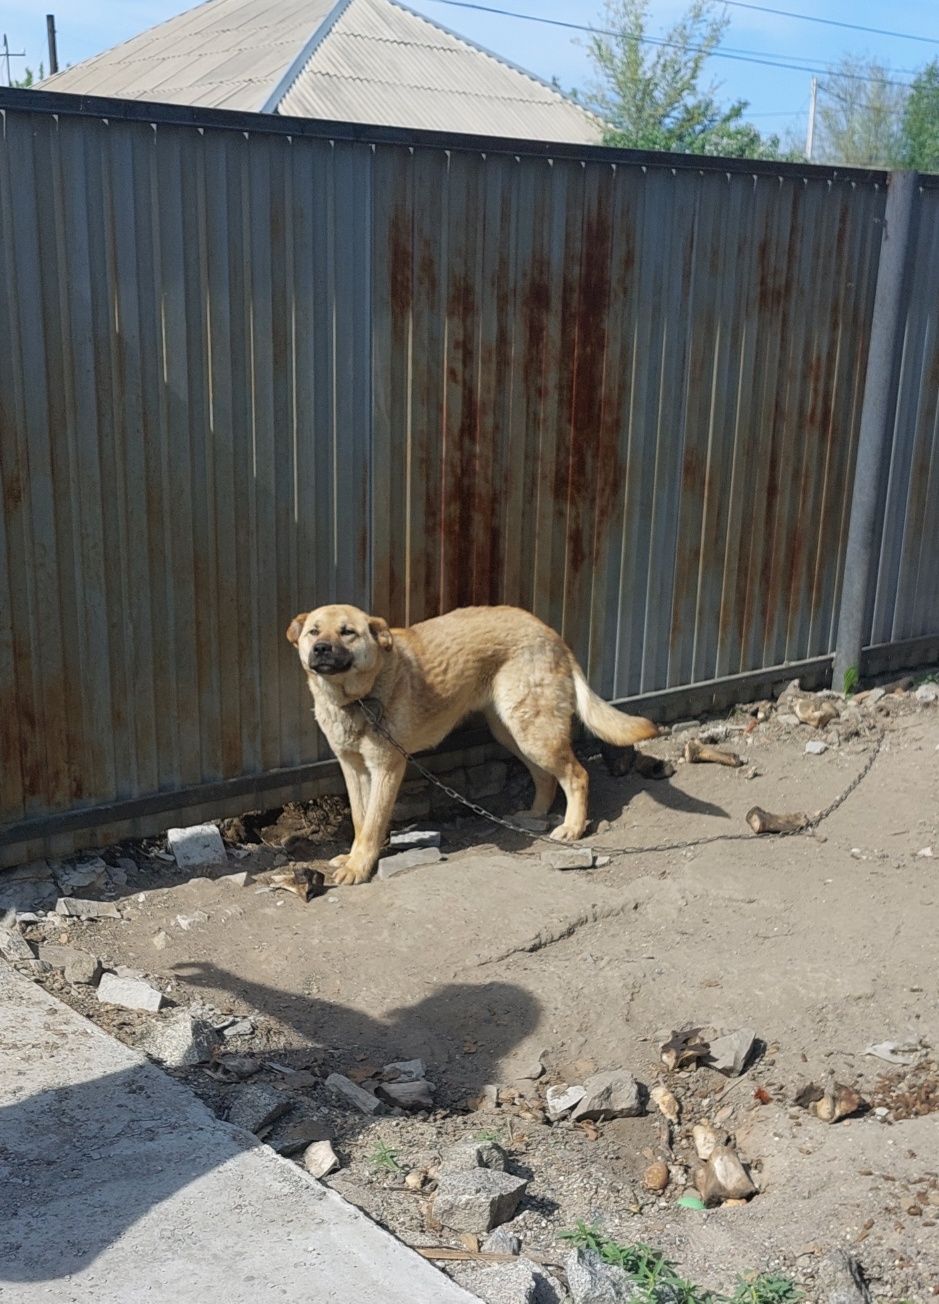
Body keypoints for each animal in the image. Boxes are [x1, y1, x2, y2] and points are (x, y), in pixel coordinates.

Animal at [284, 605, 652, 881]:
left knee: (577, 775)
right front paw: (351, 857)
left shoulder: (387, 767)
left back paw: (572, 827)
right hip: (510, 731)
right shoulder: (353, 768)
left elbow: (373, 823)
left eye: (347, 632)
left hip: (533, 732)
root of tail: (551, 634)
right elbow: (361, 821)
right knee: (546, 776)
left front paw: (359, 867)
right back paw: (535, 813)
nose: (320, 649)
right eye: (314, 632)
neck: (357, 697)